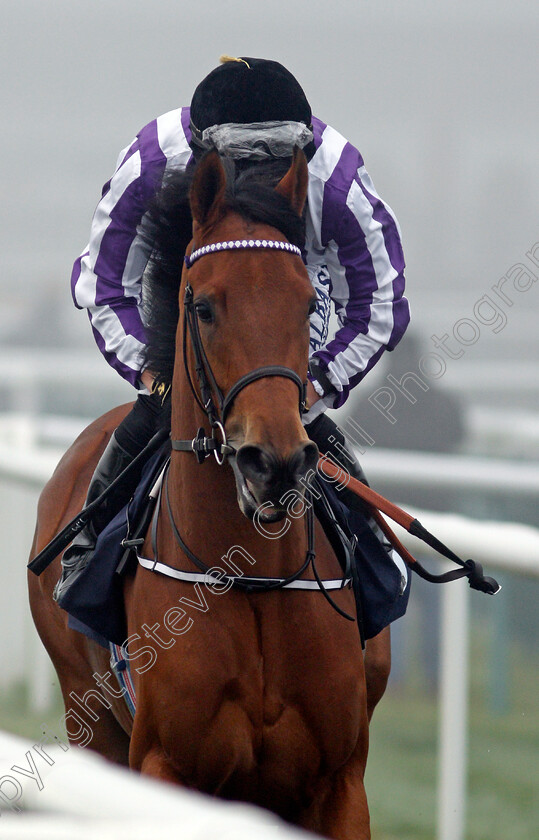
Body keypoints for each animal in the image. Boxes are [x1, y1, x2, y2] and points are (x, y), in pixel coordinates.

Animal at [28, 151, 376, 840]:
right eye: (206, 306)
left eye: (306, 305)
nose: (275, 461)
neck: (255, 577)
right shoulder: (167, 770)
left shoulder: (340, 784)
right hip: (91, 726)